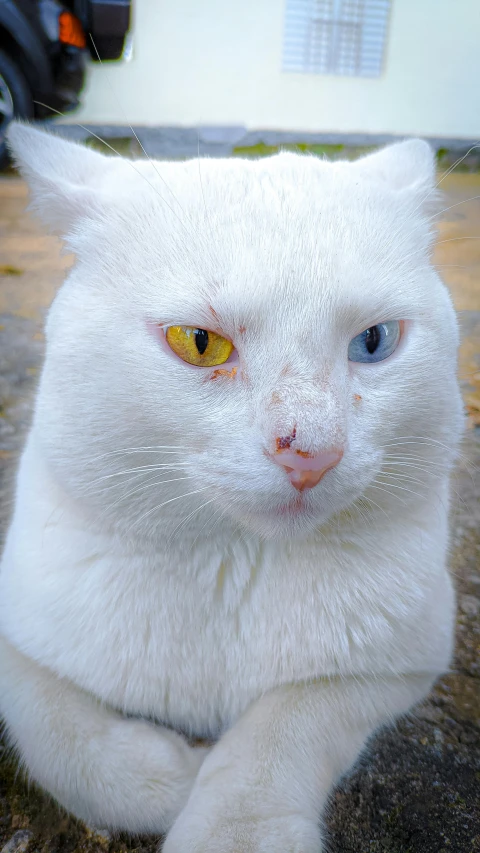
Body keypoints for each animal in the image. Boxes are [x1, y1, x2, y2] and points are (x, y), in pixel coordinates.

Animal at [0, 123, 464, 848]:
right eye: (199, 342)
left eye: (374, 341)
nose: (312, 452)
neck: (231, 565)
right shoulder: (17, 634)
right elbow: (54, 732)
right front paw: (170, 778)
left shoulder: (399, 659)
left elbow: (287, 722)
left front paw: (233, 824)